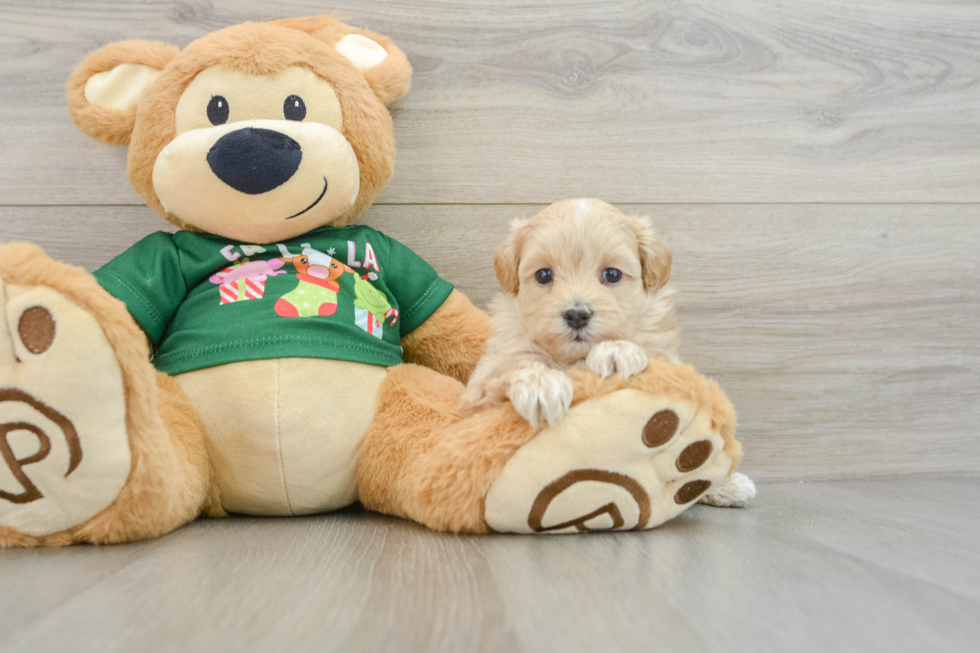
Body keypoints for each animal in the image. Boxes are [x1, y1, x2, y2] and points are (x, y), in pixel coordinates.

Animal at [462, 199, 756, 510]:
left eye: (612, 274)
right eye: (543, 275)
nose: (577, 314)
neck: (574, 357)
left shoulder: (665, 359)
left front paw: (616, 351)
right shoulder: (478, 392)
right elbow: (513, 366)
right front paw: (542, 386)